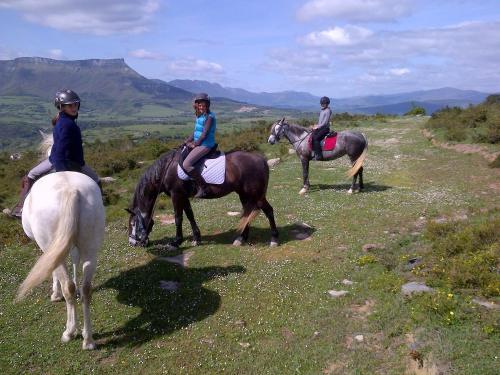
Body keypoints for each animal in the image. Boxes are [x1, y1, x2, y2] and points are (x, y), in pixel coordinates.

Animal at [16, 172, 105, 352]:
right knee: (87, 289)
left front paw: (55, 294)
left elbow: (53, 272)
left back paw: (70, 332)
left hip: (49, 243)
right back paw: (88, 340)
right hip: (91, 249)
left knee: (68, 287)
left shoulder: (48, 250)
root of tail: (71, 190)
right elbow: (75, 262)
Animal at [127, 149, 280, 250]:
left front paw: (176, 242)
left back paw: (274, 239)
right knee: (248, 213)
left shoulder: (176, 195)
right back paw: (241, 239)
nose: (132, 243)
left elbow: (178, 218)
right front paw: (197, 239)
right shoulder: (183, 196)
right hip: (244, 194)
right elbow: (190, 215)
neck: (166, 169)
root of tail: (260, 159)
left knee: (268, 211)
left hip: (257, 195)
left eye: (133, 224)